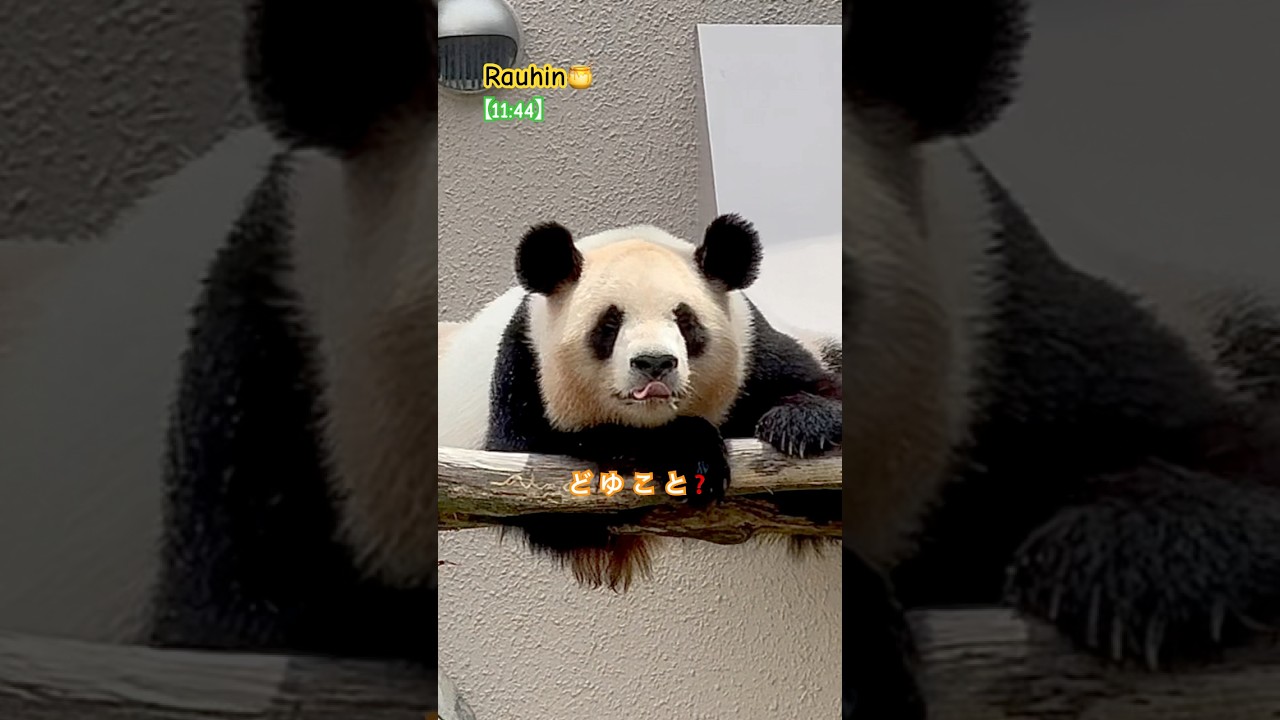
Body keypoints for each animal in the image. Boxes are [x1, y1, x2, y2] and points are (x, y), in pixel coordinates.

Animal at [436, 216, 844, 590]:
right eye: (609, 324)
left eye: (685, 320)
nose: (654, 363)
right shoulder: (524, 368)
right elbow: (543, 462)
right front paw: (689, 449)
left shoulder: (756, 351)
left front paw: (802, 425)